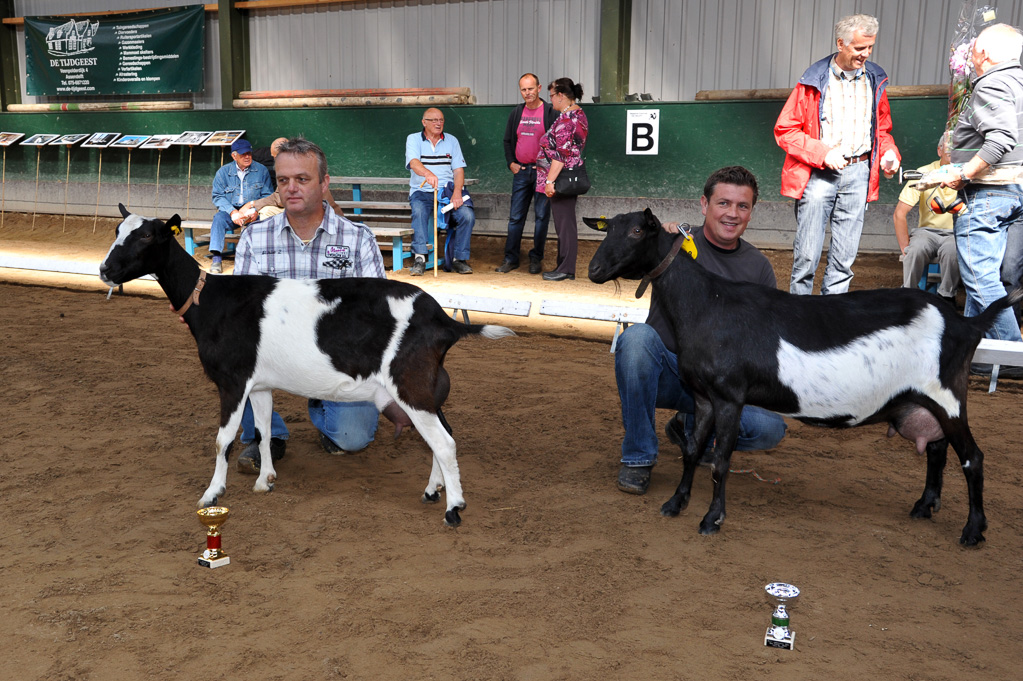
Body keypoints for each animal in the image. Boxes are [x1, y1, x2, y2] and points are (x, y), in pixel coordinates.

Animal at [100, 205, 515, 523]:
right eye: (118, 231)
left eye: (146, 237)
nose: (105, 270)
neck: (212, 300)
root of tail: (443, 319)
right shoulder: (259, 384)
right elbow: (263, 429)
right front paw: (265, 480)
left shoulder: (233, 381)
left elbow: (223, 439)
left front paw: (212, 494)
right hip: (428, 388)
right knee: (441, 436)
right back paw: (433, 490)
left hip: (411, 383)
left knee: (443, 442)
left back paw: (454, 508)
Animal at [585, 209, 1023, 543]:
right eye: (609, 229)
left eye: (637, 231)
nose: (593, 268)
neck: (708, 305)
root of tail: (966, 324)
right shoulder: (704, 397)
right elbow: (693, 451)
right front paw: (675, 503)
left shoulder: (730, 397)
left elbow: (721, 460)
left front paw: (712, 519)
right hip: (923, 401)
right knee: (936, 449)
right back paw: (924, 506)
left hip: (947, 396)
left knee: (972, 457)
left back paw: (973, 530)